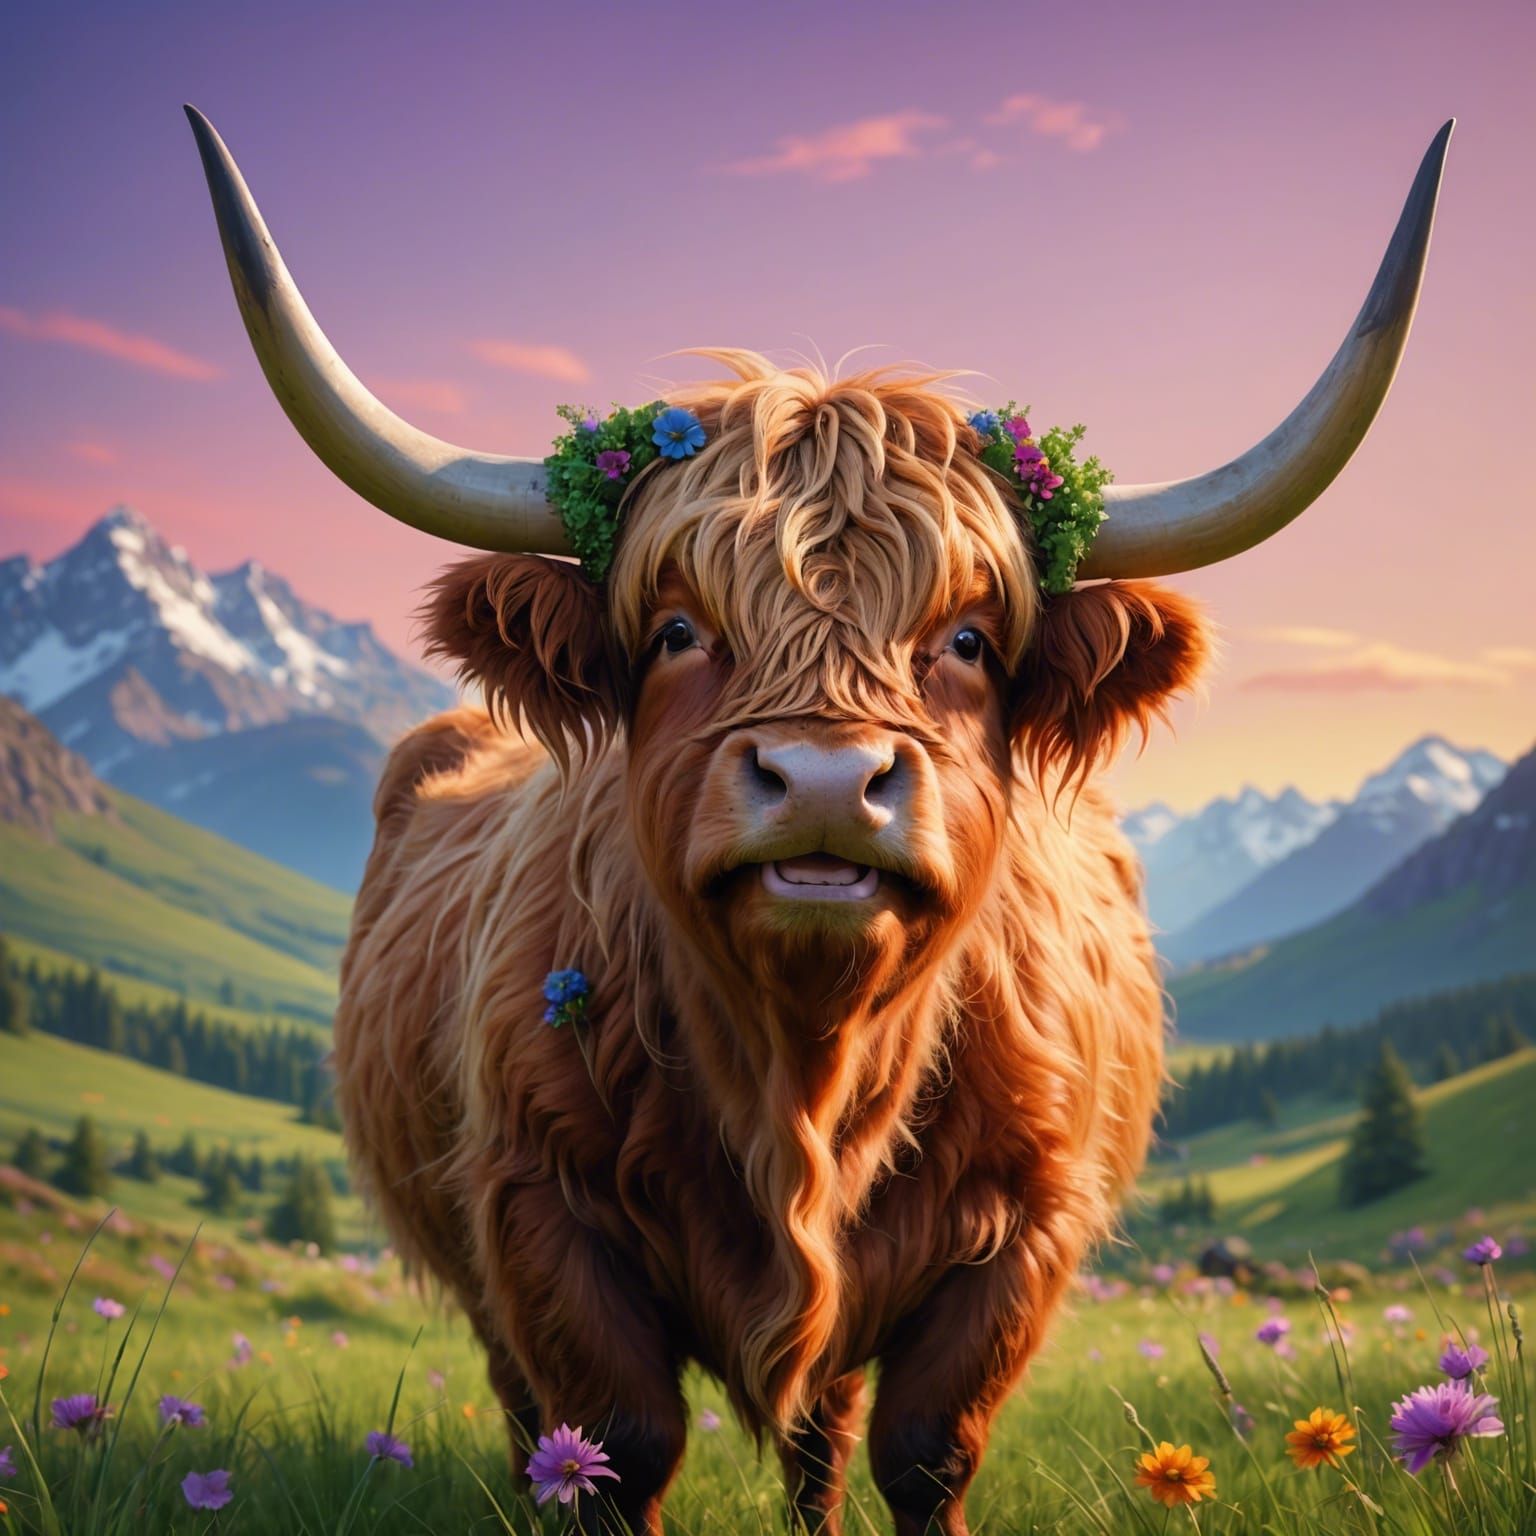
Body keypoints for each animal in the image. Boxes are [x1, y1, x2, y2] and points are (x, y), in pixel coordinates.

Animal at [186, 107, 1451, 1535]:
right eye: (677, 629)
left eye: (969, 637)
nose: (829, 782)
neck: (802, 1070)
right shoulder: (535, 1213)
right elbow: (612, 1441)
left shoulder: (1023, 1231)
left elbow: (925, 1445)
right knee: (529, 1416)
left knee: (822, 1429)